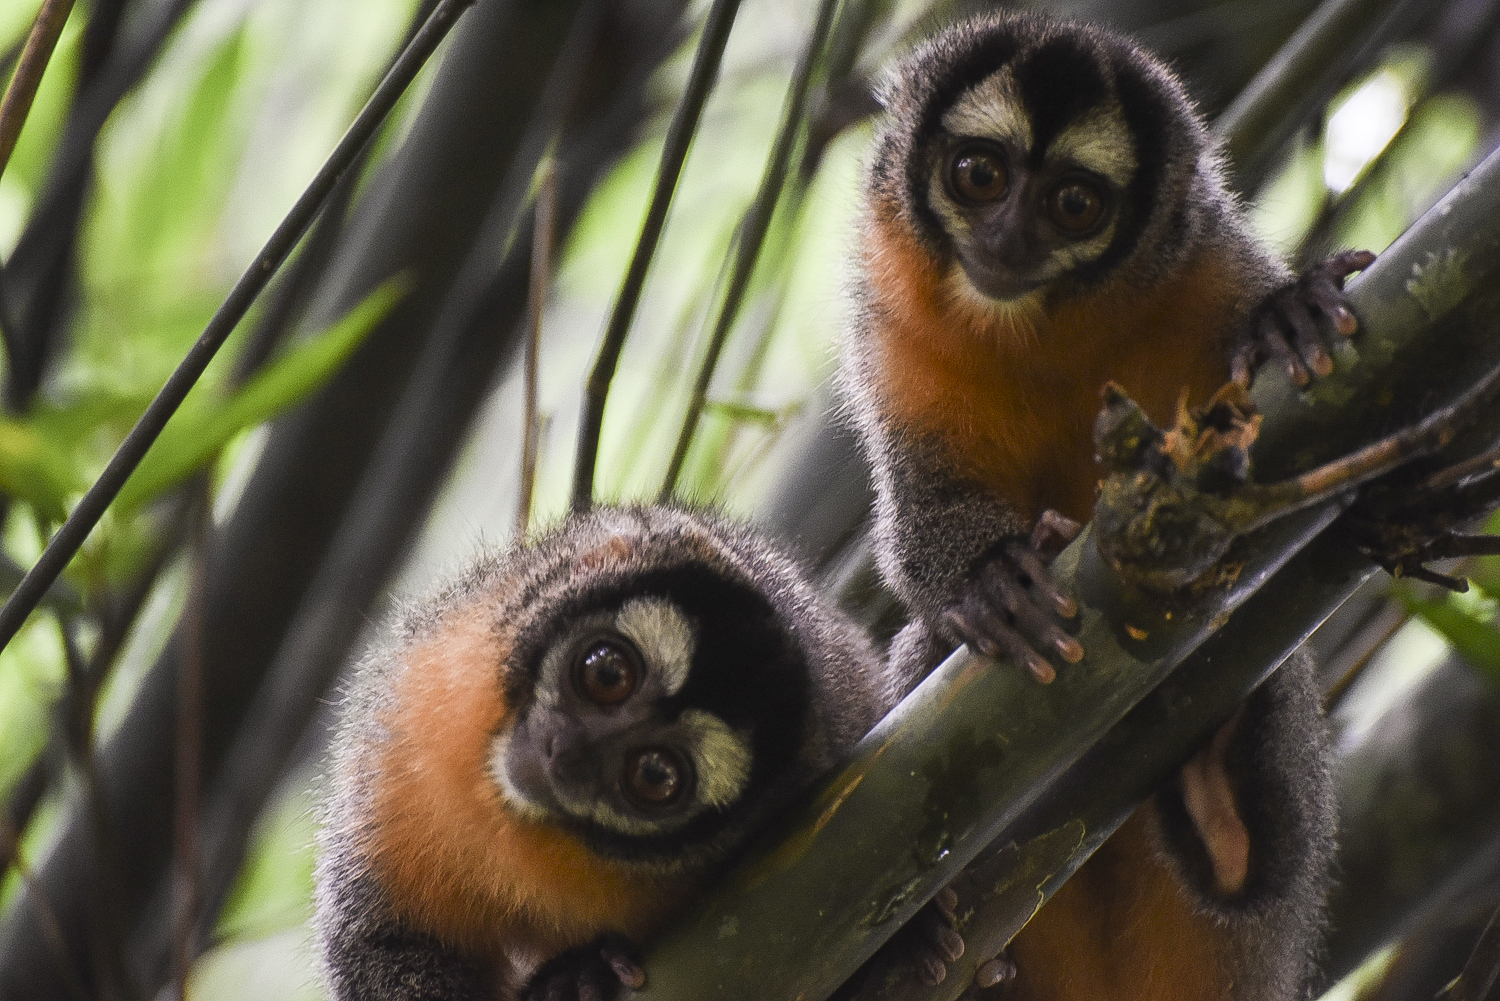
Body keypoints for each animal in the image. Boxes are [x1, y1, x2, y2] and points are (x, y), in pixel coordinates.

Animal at [313, 505, 959, 1001]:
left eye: (654, 775)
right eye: (607, 673)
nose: (565, 753)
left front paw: (581, 974)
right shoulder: (402, 725)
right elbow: (381, 942)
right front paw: (574, 975)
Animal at [840, 12, 1349, 999]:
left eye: (1075, 203)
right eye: (980, 176)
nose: (1008, 238)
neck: (1041, 327)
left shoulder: (1205, 258)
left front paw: (1287, 314)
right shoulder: (885, 333)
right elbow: (917, 523)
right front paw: (991, 579)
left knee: (1267, 866)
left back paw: (1224, 794)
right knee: (925, 652)